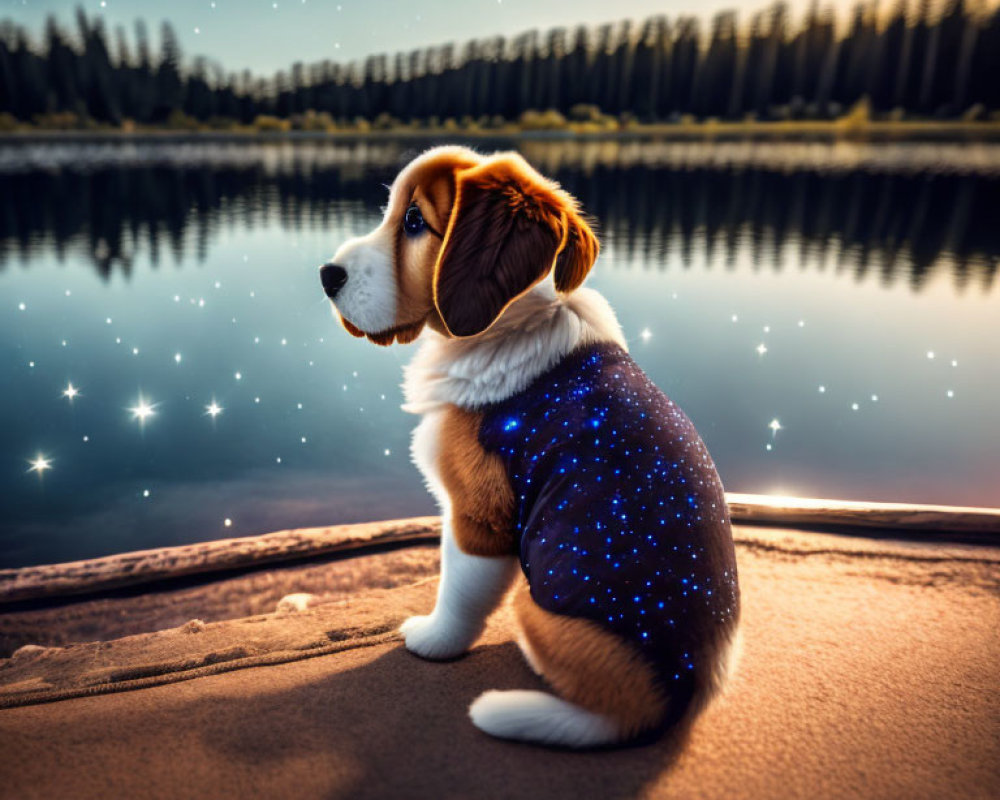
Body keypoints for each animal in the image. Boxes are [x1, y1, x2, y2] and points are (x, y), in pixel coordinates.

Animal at [320, 145, 744, 752]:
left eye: (415, 222)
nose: (326, 275)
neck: (512, 322)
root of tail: (678, 695)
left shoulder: (476, 519)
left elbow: (458, 594)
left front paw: (434, 639)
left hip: (535, 602)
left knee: (604, 718)